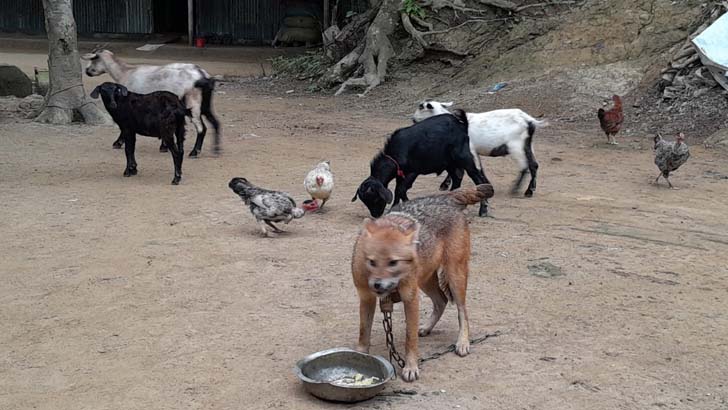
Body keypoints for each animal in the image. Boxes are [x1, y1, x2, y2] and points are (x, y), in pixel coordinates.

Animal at [82, 48, 219, 157]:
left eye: (93, 60)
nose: (87, 71)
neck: (125, 72)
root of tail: (202, 75)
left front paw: (118, 143)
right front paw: (164, 146)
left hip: (193, 102)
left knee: (201, 128)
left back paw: (195, 152)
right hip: (205, 104)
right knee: (215, 122)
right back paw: (217, 150)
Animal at [350, 184, 492, 380]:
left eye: (393, 262)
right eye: (371, 262)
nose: (377, 285)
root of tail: (448, 197)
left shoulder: (410, 299)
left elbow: (410, 339)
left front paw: (410, 367)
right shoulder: (367, 299)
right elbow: (364, 334)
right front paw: (359, 358)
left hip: (454, 277)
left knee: (462, 311)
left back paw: (462, 342)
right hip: (425, 281)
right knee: (441, 301)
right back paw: (426, 328)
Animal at [352, 109, 492, 218]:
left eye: (375, 198)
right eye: (365, 201)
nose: (375, 215)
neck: (396, 153)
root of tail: (462, 126)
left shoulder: (412, 172)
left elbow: (400, 190)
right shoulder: (400, 174)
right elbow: (400, 190)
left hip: (466, 160)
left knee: (478, 180)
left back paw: (483, 210)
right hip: (451, 164)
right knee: (457, 179)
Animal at [416, 101, 544, 199]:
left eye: (421, 107)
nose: (413, 119)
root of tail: (528, 120)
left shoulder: (468, 150)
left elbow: (474, 169)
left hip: (515, 146)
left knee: (524, 166)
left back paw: (516, 189)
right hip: (527, 144)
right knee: (534, 165)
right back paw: (530, 190)